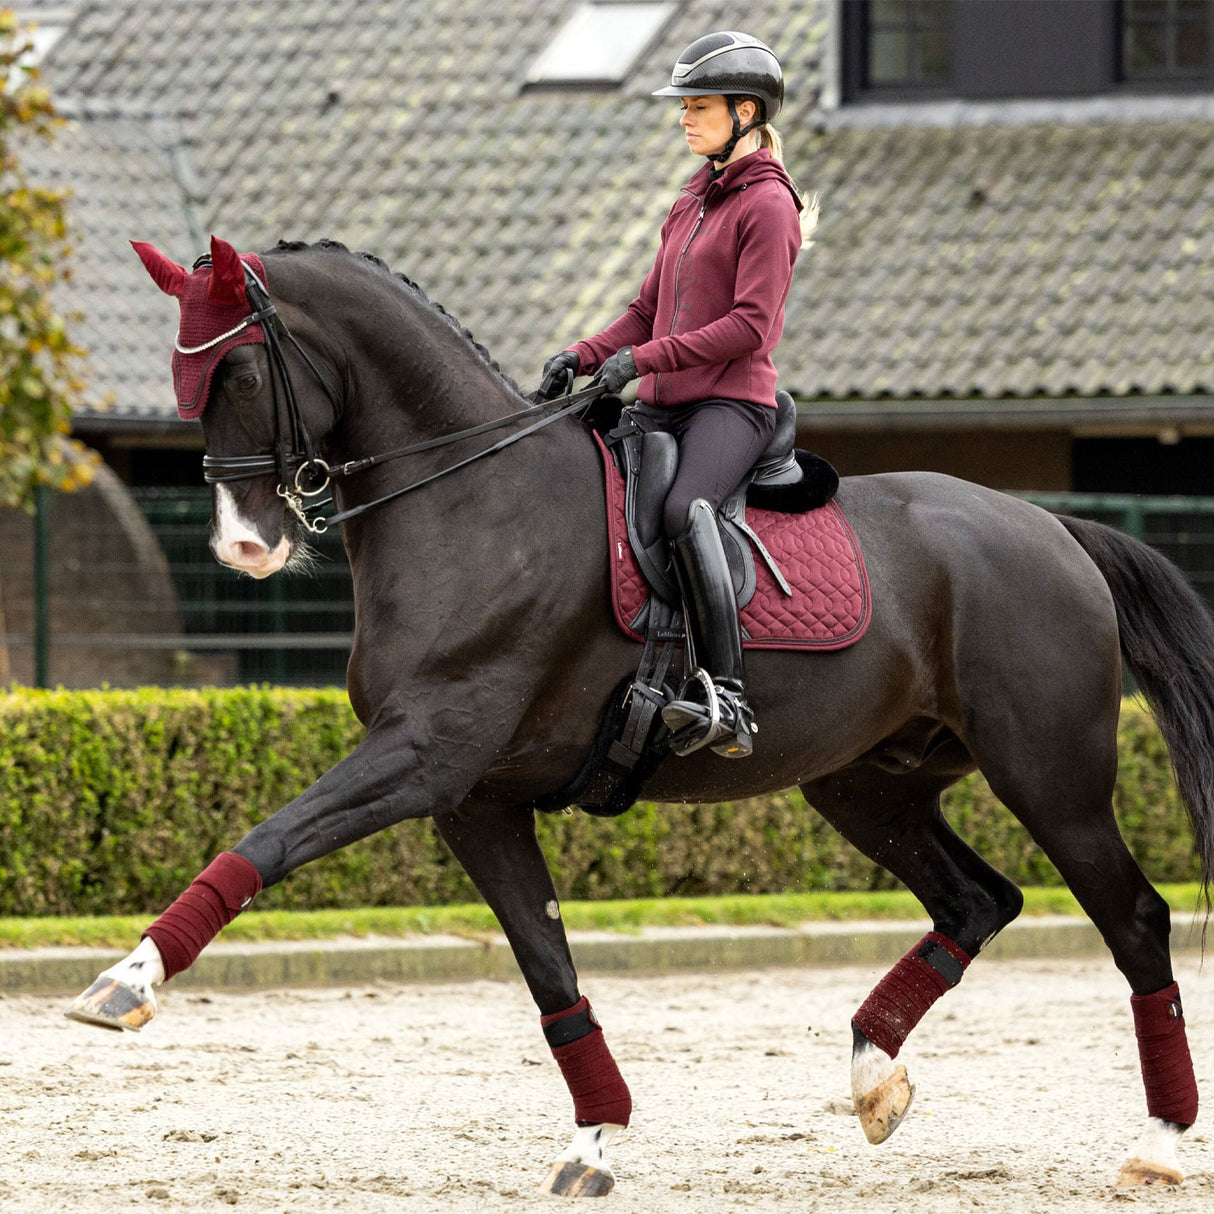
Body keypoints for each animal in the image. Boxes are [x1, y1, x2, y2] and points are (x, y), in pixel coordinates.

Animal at [71, 236, 1209, 1194]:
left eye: (239, 373)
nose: (245, 546)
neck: (472, 503)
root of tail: (1051, 527)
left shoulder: (424, 753)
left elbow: (268, 837)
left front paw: (126, 980)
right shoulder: (473, 799)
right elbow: (548, 966)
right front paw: (595, 1137)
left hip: (1051, 780)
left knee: (1134, 921)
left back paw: (1155, 1142)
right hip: (866, 787)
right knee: (976, 901)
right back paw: (873, 1076)